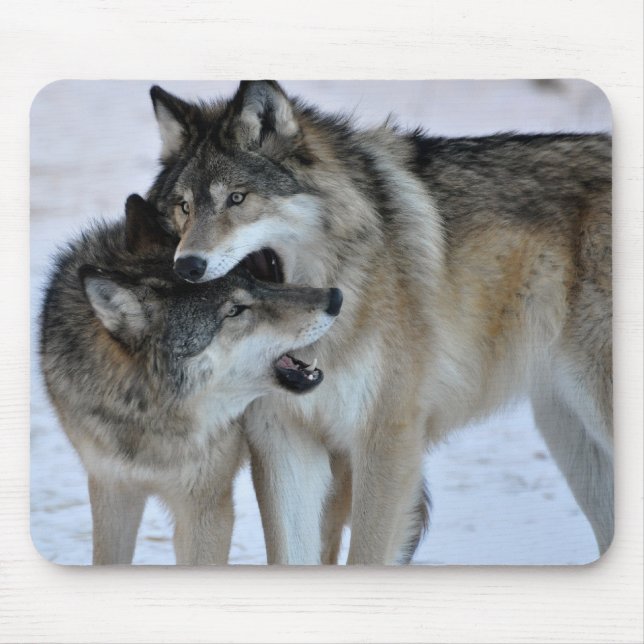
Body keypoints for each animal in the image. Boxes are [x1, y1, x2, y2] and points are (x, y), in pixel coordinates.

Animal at [39, 193, 342, 564]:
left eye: (253, 280)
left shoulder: (205, 506)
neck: (149, 421)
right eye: (234, 310)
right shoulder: (111, 487)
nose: (335, 298)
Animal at [147, 82, 612, 564]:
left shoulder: (386, 439)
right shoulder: (282, 440)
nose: (187, 266)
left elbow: (366, 553)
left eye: (238, 198)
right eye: (184, 206)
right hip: (568, 431)